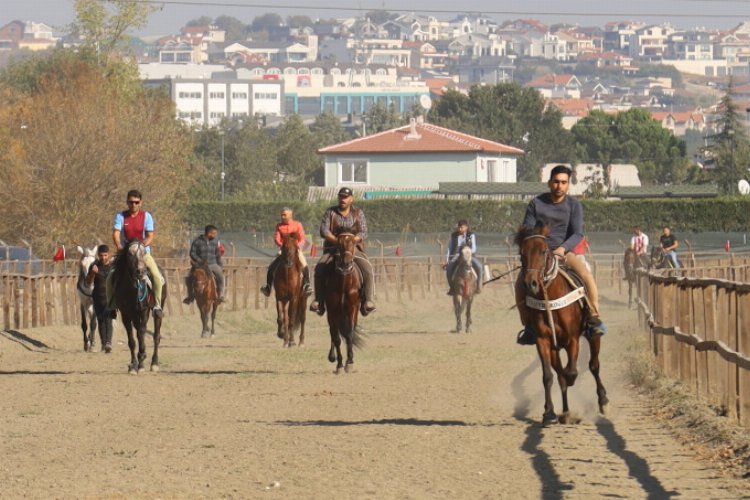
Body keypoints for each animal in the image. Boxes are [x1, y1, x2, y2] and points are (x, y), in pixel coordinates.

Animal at [111, 240, 167, 374]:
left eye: (143, 253)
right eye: (130, 254)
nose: (141, 271)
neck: (131, 288)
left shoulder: (143, 310)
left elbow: (141, 332)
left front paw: (141, 360)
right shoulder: (125, 313)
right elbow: (132, 340)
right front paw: (133, 365)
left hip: (156, 309)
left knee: (156, 335)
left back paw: (154, 363)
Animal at [326, 232, 368, 374]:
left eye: (353, 244)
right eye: (339, 244)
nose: (346, 263)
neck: (344, 284)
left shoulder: (352, 309)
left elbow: (349, 334)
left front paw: (349, 362)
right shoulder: (332, 311)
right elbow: (337, 338)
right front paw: (339, 364)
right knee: (334, 333)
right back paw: (332, 357)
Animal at [516, 227, 612, 426]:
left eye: (543, 251)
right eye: (522, 253)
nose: (531, 283)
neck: (550, 297)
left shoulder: (572, 339)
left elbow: (572, 371)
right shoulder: (543, 341)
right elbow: (549, 376)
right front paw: (549, 413)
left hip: (592, 336)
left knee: (594, 365)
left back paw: (603, 401)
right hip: (554, 348)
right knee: (560, 374)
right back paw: (566, 412)